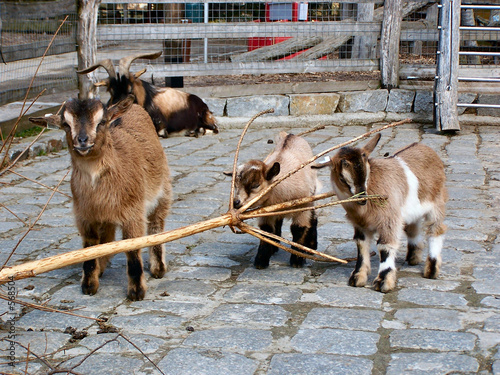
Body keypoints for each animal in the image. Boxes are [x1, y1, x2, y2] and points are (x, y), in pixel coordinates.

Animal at [77, 50, 218, 137]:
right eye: (111, 92)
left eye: (130, 90)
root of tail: (202, 104)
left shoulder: (161, 126)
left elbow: (161, 132)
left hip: (207, 120)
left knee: (213, 129)